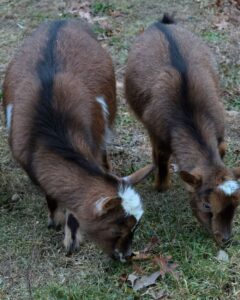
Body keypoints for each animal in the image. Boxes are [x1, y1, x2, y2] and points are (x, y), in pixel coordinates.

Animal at [3, 19, 154, 262]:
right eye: (116, 229)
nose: (126, 256)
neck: (52, 130)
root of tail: (61, 21)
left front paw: (71, 239)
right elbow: (52, 192)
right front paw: (55, 220)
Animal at [124, 14, 240, 246]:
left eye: (236, 204)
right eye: (206, 205)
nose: (225, 240)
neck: (190, 116)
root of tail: (162, 23)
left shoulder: (220, 137)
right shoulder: (158, 136)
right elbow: (161, 163)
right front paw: (161, 186)